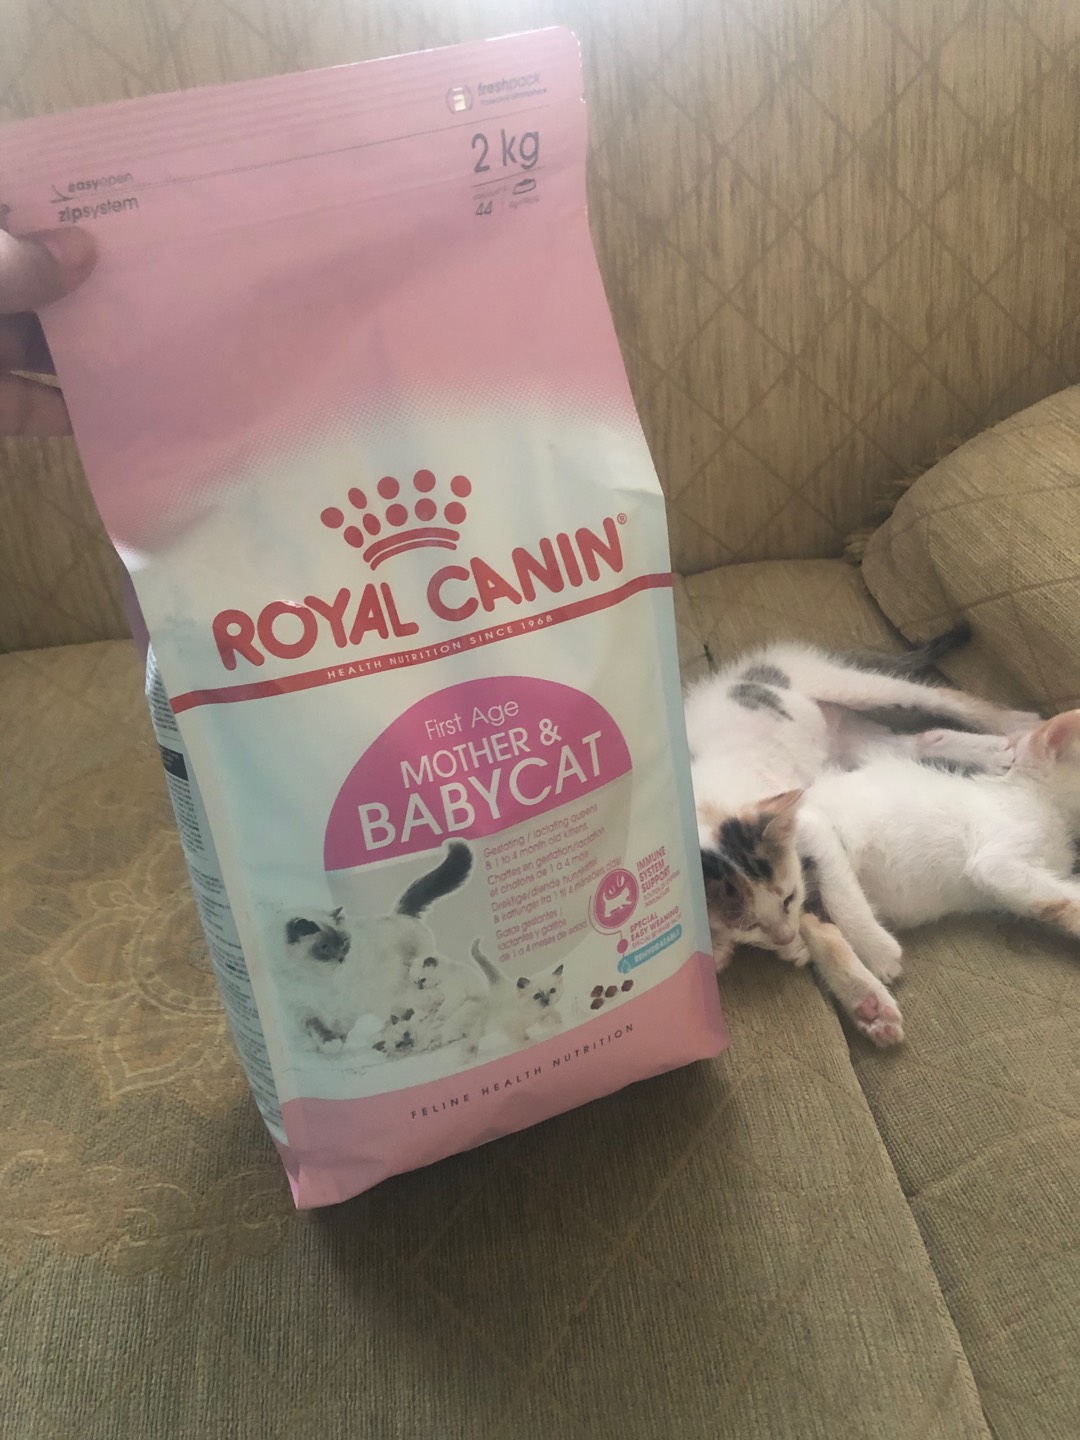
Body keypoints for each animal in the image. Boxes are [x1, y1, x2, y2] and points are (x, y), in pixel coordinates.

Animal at [279, 840, 473, 1053]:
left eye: (343, 942)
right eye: (324, 946)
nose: (341, 958)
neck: (316, 977)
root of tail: (399, 914)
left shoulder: (349, 1005)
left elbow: (344, 1024)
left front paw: (341, 1042)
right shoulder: (302, 1009)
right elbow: (316, 1025)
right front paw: (328, 1045)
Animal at [687, 626, 1039, 968]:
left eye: (789, 897)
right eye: (748, 926)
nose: (785, 937)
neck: (705, 808)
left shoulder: (808, 819)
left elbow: (838, 888)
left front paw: (878, 952)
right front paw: (793, 947)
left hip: (849, 687)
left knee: (938, 696)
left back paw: (1014, 722)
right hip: (855, 747)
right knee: (922, 740)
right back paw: (993, 754)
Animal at [725, 710, 1080, 1046]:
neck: (1038, 797)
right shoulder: (997, 857)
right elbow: (1058, 897)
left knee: (816, 925)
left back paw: (869, 1006)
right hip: (819, 835)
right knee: (836, 890)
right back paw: (878, 954)